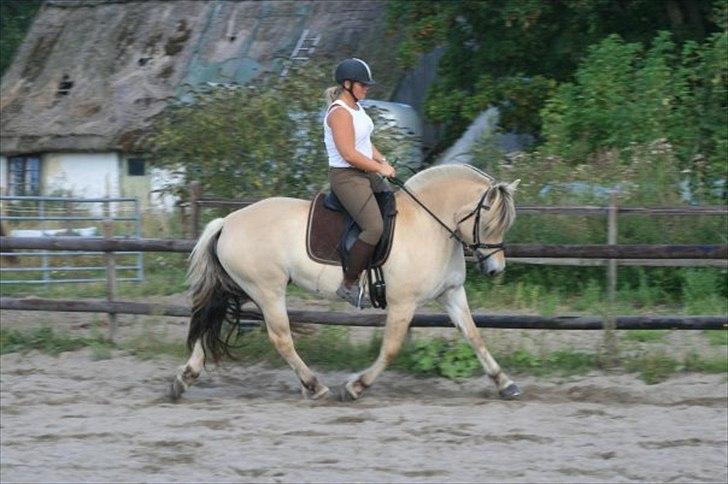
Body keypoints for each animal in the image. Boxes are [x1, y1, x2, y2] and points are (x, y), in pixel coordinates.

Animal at [171, 164, 524, 400]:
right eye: (489, 223)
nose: (495, 270)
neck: (430, 223)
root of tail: (227, 222)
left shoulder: (451, 293)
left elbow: (474, 336)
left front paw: (505, 383)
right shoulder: (403, 303)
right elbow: (391, 348)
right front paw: (356, 387)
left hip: (236, 287)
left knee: (208, 322)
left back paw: (184, 379)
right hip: (267, 290)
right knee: (281, 338)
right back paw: (314, 386)